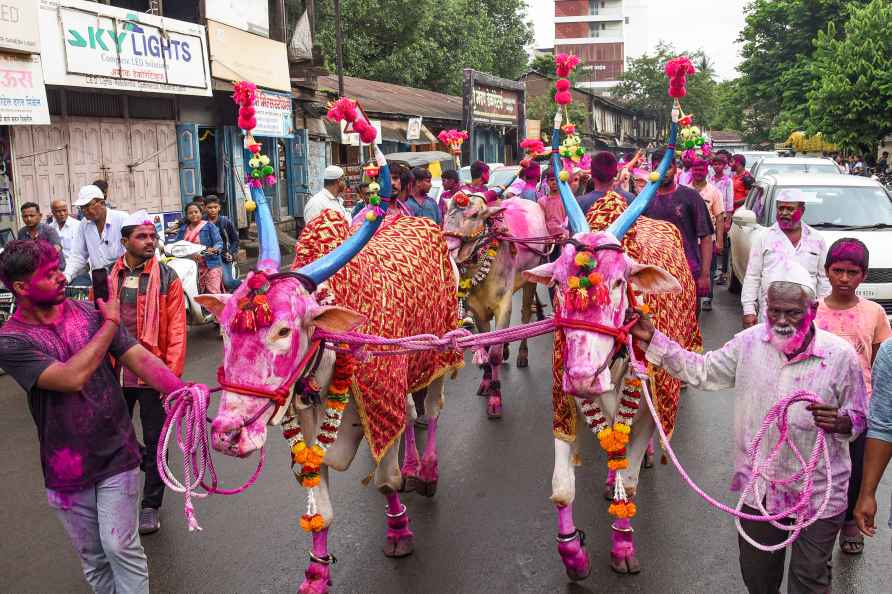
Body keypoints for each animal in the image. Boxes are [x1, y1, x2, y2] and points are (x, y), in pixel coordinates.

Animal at [199, 95, 464, 588]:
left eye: (284, 330)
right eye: (224, 328)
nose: (227, 434)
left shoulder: (380, 400)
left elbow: (386, 479)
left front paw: (398, 530)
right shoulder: (307, 437)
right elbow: (320, 511)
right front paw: (316, 572)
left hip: (440, 350)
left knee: (433, 410)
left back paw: (428, 469)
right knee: (412, 412)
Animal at [524, 90, 704, 576]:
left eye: (622, 281)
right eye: (558, 282)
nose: (584, 376)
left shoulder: (643, 411)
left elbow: (632, 479)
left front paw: (623, 547)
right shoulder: (562, 399)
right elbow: (560, 487)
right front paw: (572, 553)